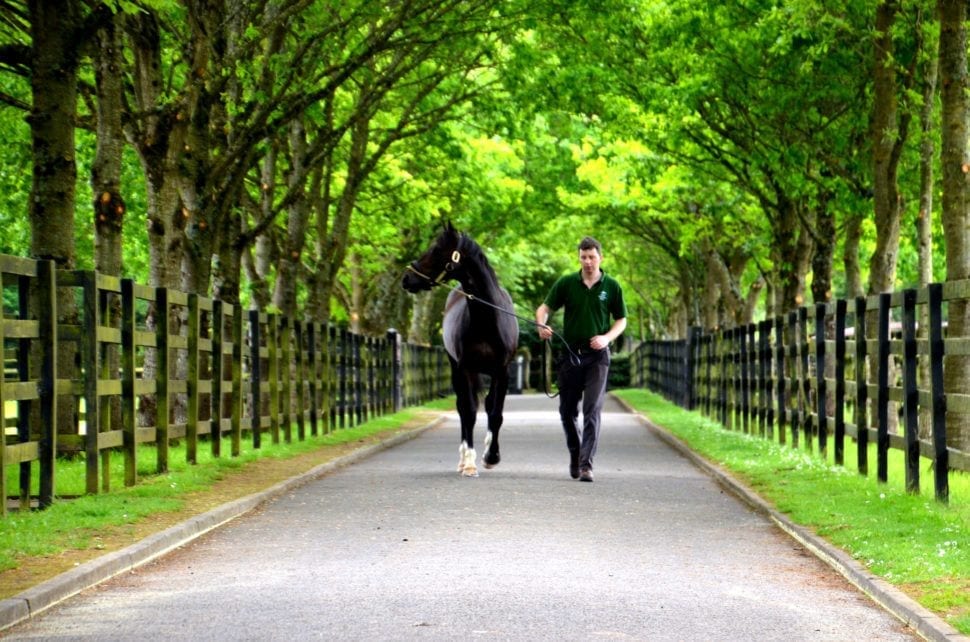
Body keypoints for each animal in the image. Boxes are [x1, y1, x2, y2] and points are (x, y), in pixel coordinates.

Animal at [402, 222, 519, 476]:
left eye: (436, 250)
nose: (407, 278)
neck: (487, 321)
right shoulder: (465, 368)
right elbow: (470, 411)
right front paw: (470, 463)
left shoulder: (502, 371)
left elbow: (495, 413)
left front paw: (491, 456)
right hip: (456, 368)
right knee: (464, 408)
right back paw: (463, 458)